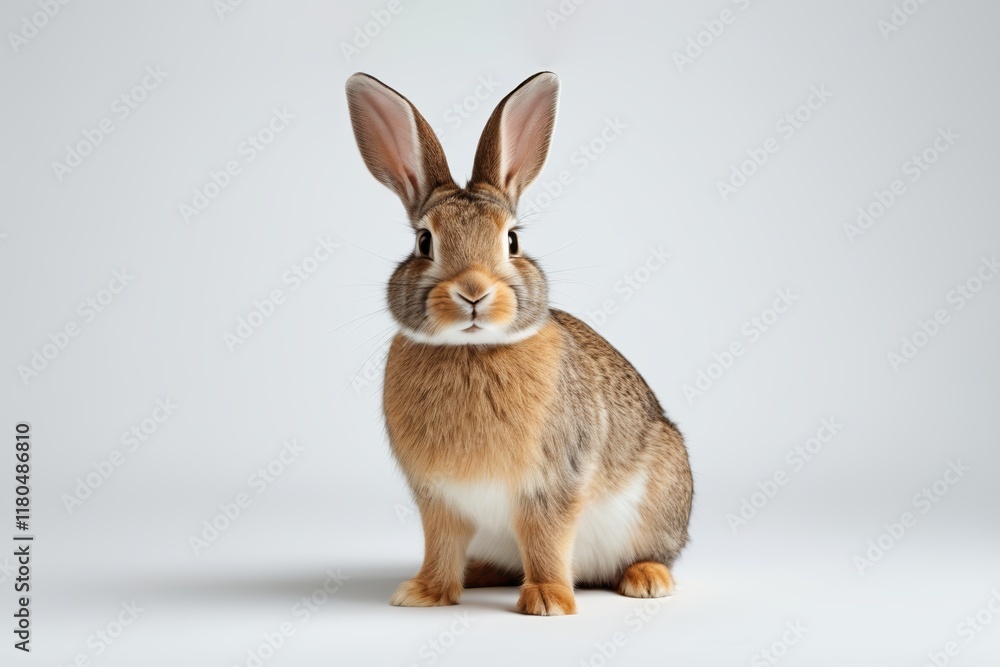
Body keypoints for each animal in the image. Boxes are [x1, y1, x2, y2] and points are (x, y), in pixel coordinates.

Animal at [345, 71, 693, 616]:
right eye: (424, 242)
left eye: (512, 241)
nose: (473, 292)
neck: (470, 350)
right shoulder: (439, 499)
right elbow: (440, 543)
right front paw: (423, 593)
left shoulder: (552, 485)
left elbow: (546, 540)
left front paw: (549, 601)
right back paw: (478, 574)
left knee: (650, 553)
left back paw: (646, 579)